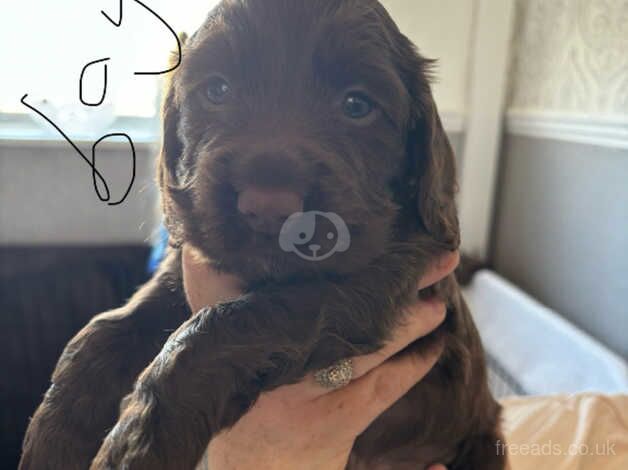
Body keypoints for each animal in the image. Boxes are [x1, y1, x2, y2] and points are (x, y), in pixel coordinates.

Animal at [19, 1, 506, 468]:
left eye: (357, 105)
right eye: (217, 90)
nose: (268, 206)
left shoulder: (378, 277)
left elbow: (222, 327)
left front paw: (134, 448)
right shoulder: (185, 272)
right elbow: (105, 331)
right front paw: (52, 438)